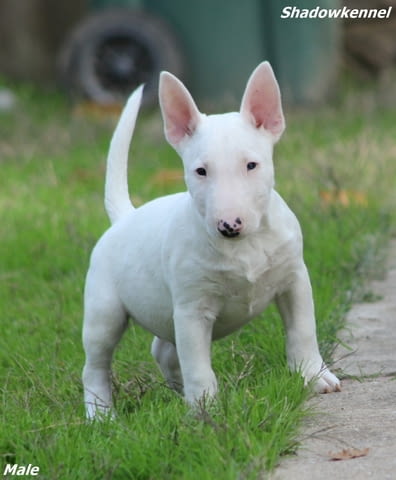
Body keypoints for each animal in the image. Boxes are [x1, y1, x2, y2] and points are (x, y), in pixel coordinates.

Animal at [81, 62, 340, 418]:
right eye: (200, 171)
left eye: (251, 165)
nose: (229, 225)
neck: (244, 246)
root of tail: (124, 217)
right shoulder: (192, 310)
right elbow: (198, 364)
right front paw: (206, 410)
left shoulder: (295, 280)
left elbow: (302, 331)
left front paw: (315, 376)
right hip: (103, 310)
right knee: (96, 365)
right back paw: (101, 415)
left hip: (162, 315)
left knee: (162, 350)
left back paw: (177, 391)